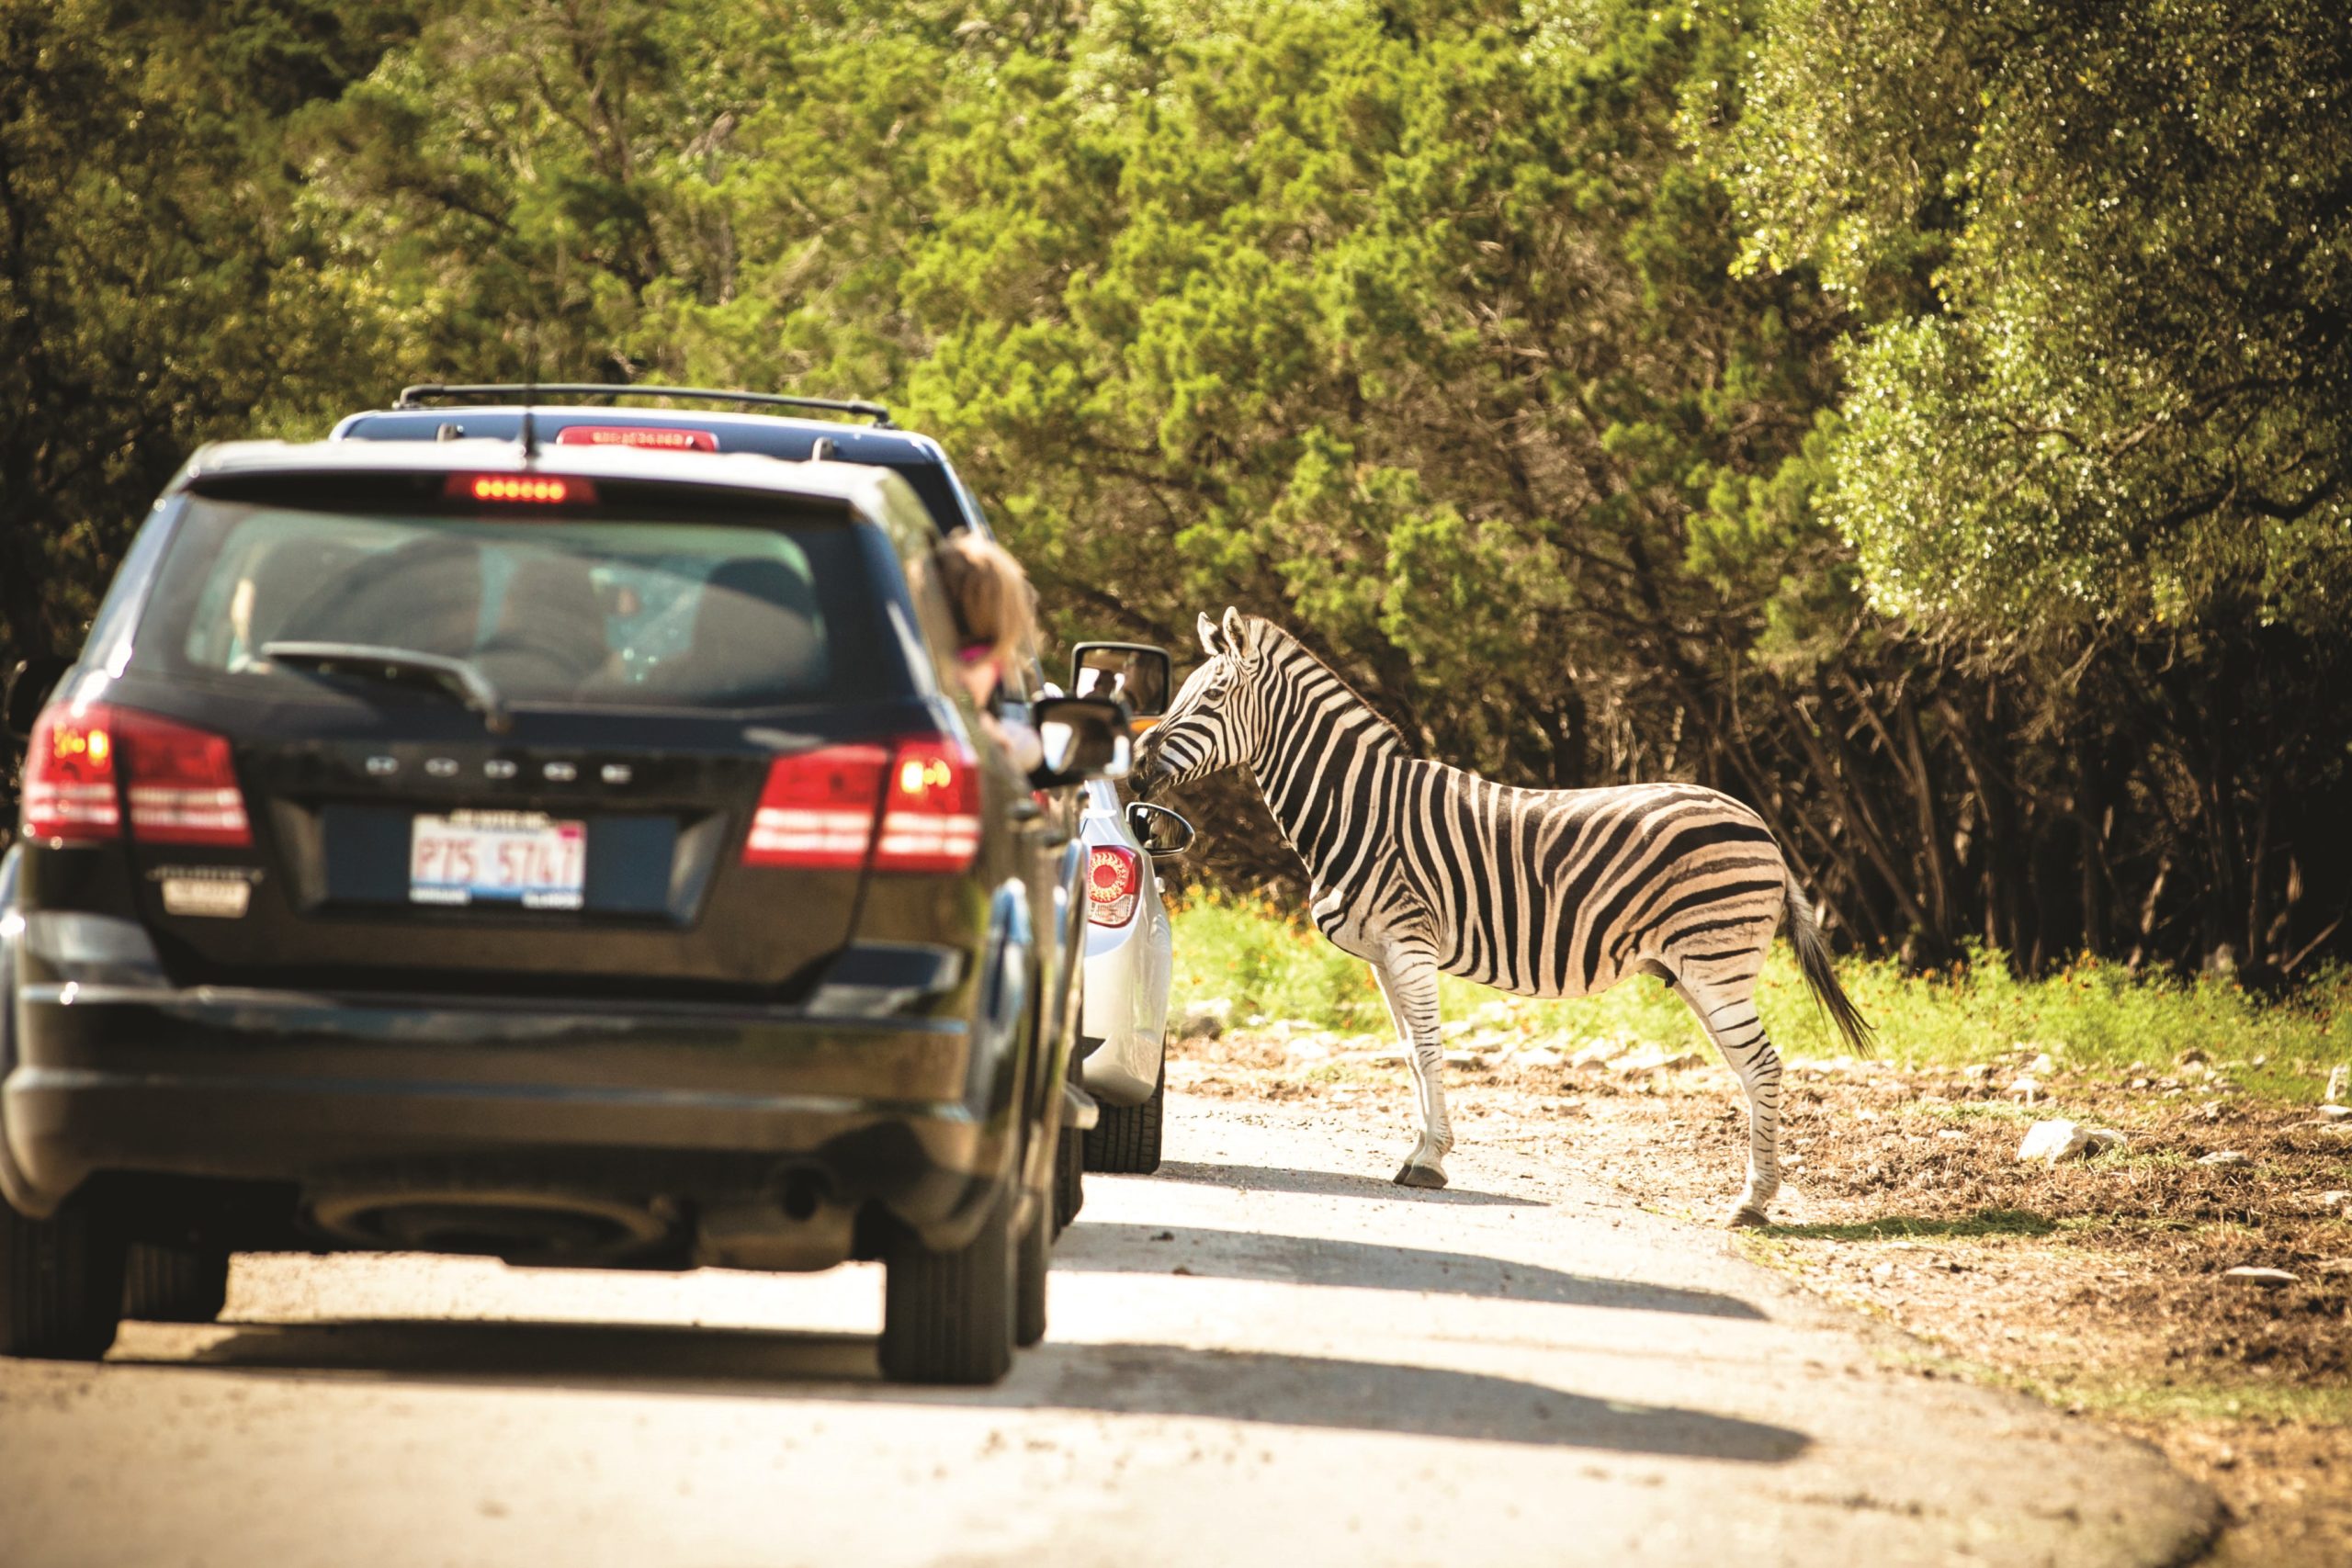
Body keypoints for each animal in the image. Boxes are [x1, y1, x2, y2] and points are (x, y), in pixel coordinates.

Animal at [1128, 611, 1882, 1222]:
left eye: (1211, 697)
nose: (1135, 768)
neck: (1359, 807)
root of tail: (1761, 824)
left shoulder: (1409, 940)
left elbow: (1432, 1049)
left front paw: (1429, 1162)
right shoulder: (1380, 957)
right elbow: (1410, 1054)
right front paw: (1421, 1150)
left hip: (1715, 963)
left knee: (1765, 1066)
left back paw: (1752, 1203)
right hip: (1700, 970)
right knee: (1749, 1068)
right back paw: (1755, 1194)